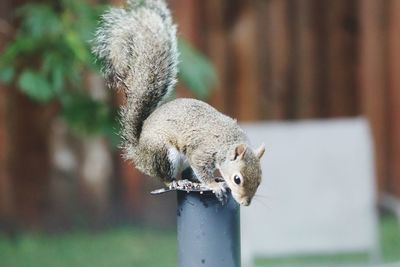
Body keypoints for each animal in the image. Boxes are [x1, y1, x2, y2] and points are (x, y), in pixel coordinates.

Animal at [92, 0, 264, 207]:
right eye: (237, 179)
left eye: (260, 179)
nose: (245, 203)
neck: (227, 141)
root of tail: (139, 153)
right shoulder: (202, 152)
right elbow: (202, 169)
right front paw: (214, 185)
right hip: (165, 154)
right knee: (166, 178)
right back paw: (178, 182)